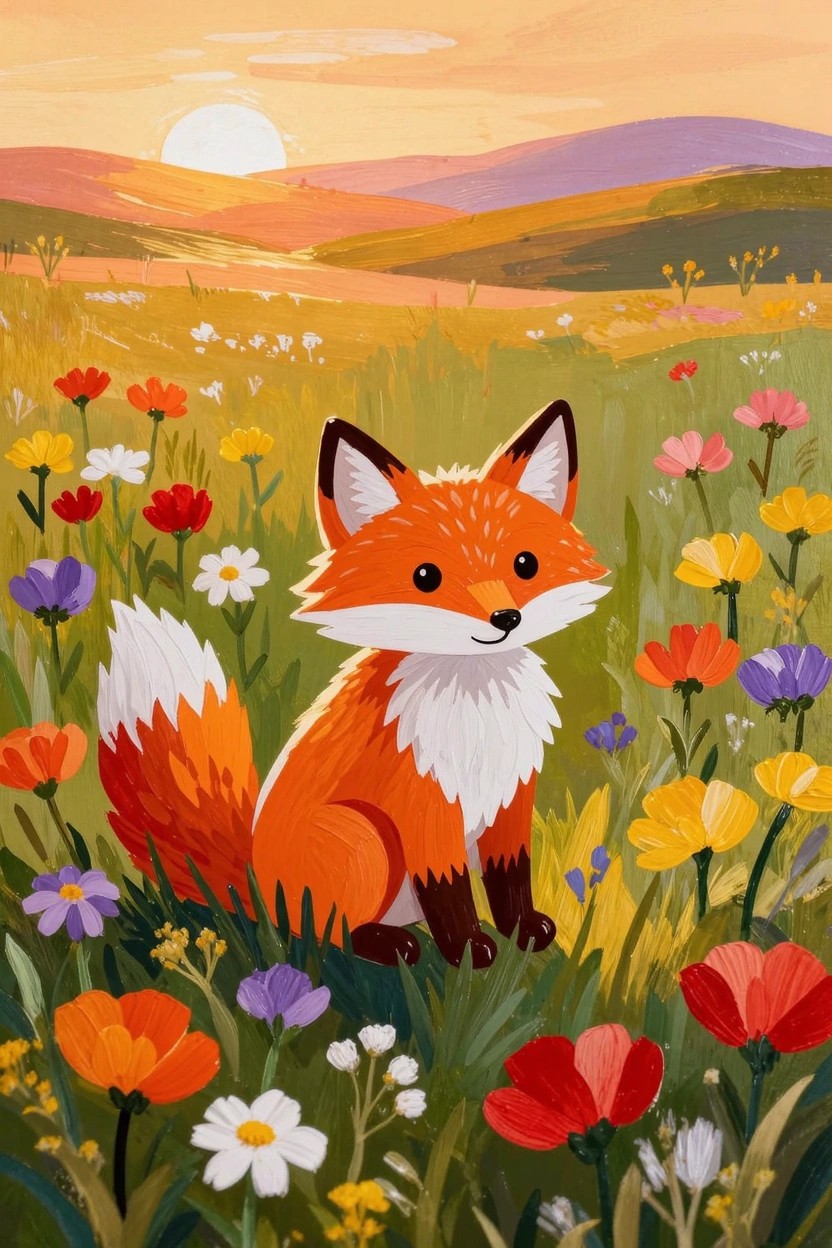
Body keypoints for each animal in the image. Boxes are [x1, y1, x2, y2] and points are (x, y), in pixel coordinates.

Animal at [97, 401, 609, 969]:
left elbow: (509, 875)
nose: (506, 618)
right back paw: (389, 945)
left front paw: (524, 931)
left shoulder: (511, 797)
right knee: (323, 934)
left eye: (526, 565)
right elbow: (448, 888)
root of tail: (254, 877)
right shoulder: (424, 808)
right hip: (366, 838)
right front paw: (469, 951)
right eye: (426, 577)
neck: (474, 711)